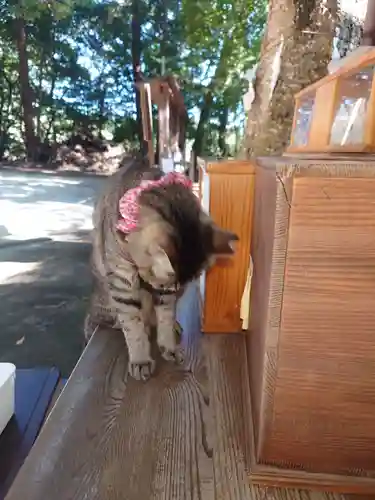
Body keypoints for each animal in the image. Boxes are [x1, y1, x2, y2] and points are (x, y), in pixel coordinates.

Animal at [85, 158, 238, 380]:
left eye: (173, 287)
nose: (174, 290)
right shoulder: (123, 281)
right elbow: (132, 325)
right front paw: (140, 359)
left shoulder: (165, 294)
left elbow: (165, 316)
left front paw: (169, 346)